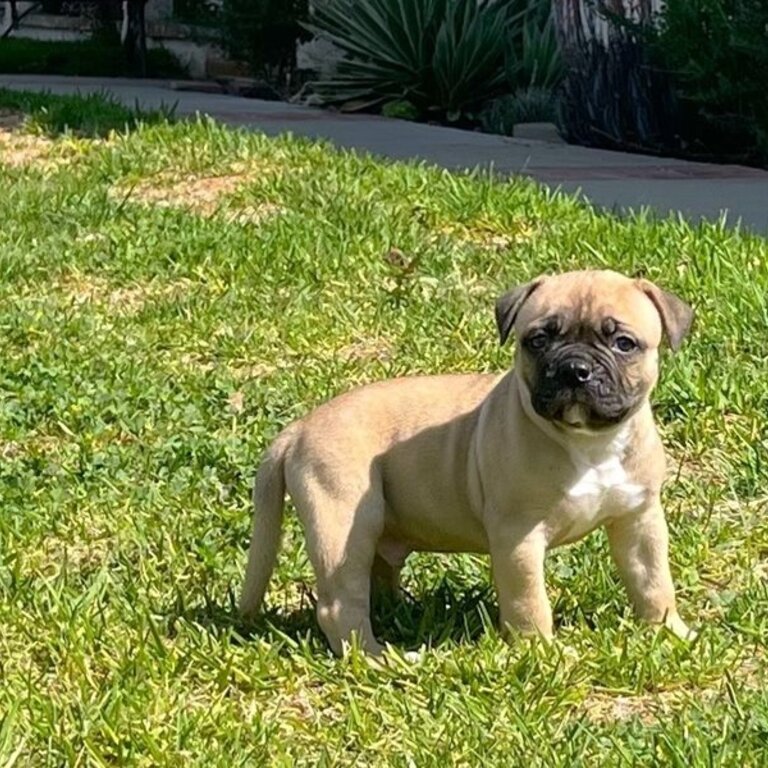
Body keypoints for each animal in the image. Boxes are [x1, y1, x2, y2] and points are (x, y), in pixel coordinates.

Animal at [240, 270, 696, 656]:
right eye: (537, 340)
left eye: (624, 343)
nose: (574, 369)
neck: (590, 442)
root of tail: (299, 427)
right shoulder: (518, 536)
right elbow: (529, 600)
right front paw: (542, 653)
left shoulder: (639, 519)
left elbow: (653, 580)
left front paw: (670, 630)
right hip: (343, 524)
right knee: (340, 605)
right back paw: (379, 658)